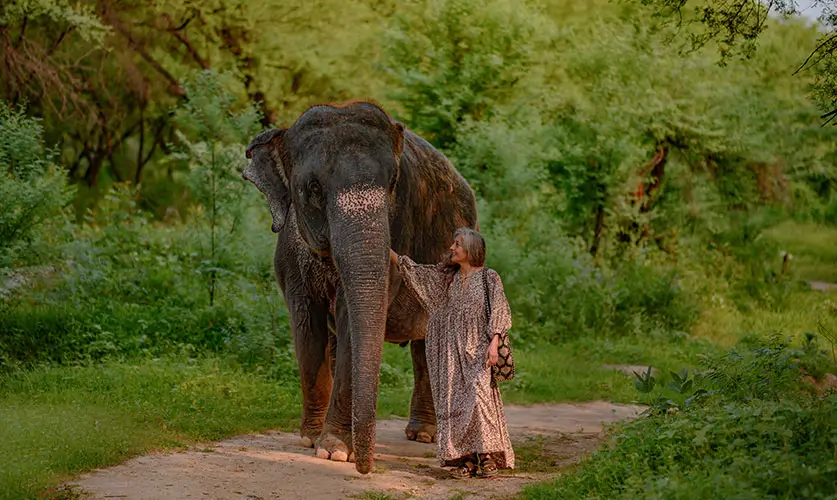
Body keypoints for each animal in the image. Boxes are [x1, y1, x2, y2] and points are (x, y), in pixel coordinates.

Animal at [242, 101, 478, 474]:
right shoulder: (289, 257)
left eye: (394, 182)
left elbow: (351, 320)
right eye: (314, 188)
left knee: (426, 344)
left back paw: (424, 435)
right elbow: (307, 327)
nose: (365, 467)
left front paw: (335, 450)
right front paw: (311, 439)